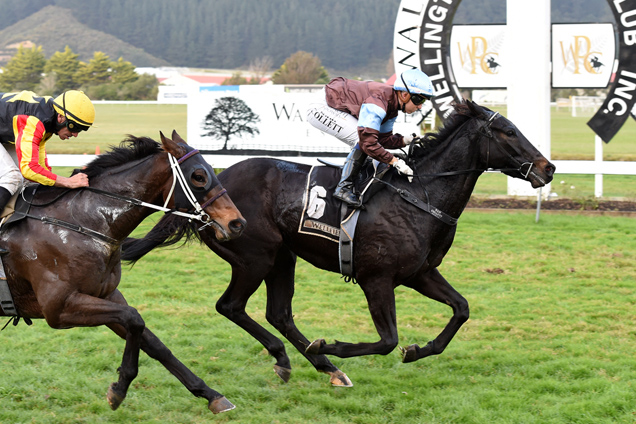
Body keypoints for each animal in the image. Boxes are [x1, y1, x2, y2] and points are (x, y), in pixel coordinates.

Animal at [0, 131, 246, 412]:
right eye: (199, 176)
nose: (237, 223)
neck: (81, 221)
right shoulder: (59, 308)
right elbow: (134, 319)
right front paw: (120, 387)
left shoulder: (106, 296)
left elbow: (154, 343)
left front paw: (210, 394)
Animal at [121, 101, 556, 386]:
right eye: (510, 132)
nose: (548, 167)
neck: (420, 194)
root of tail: (211, 187)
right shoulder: (376, 278)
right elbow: (386, 340)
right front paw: (332, 346)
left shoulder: (420, 273)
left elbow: (461, 309)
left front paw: (418, 350)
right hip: (255, 256)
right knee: (231, 306)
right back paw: (306, 358)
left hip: (283, 257)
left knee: (279, 313)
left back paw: (320, 366)